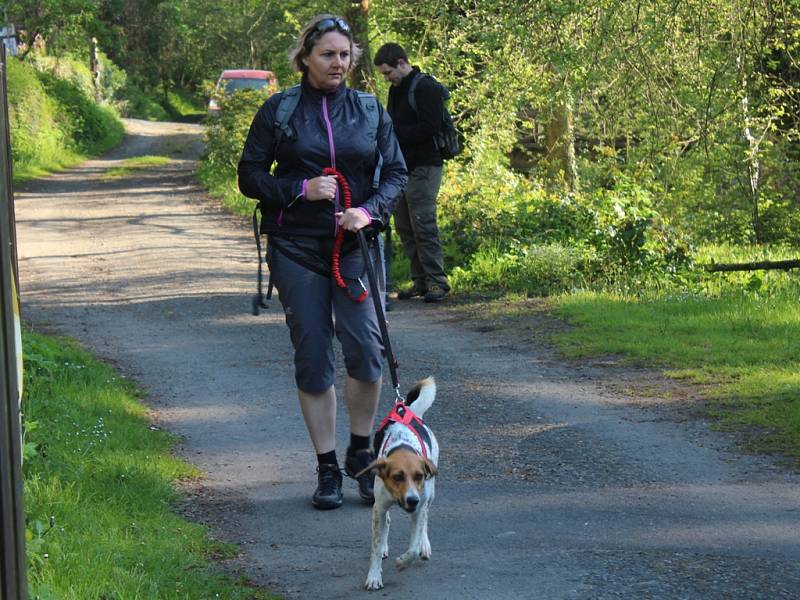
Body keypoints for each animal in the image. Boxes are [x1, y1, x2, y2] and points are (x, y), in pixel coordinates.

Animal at [360, 376, 440, 592]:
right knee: (385, 524)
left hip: (430, 494)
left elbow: (413, 547)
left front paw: (404, 561)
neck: (403, 445)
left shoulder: (419, 506)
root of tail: (409, 411)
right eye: (397, 477)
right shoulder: (379, 507)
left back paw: (424, 544)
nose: (412, 500)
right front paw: (374, 576)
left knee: (425, 518)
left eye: (419, 476)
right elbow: (376, 545)